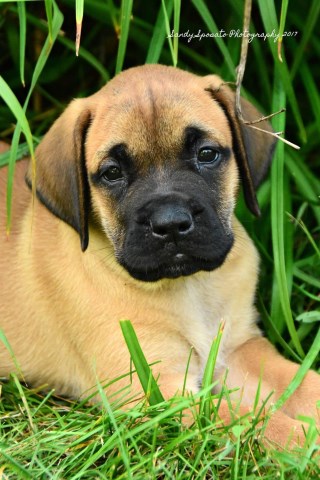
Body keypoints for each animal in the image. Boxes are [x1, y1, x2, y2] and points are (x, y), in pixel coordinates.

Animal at [0, 64, 318, 450]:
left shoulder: (238, 350)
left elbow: (303, 384)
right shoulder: (159, 394)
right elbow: (254, 422)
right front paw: (306, 443)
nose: (170, 223)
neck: (189, 287)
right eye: (112, 173)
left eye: (207, 154)